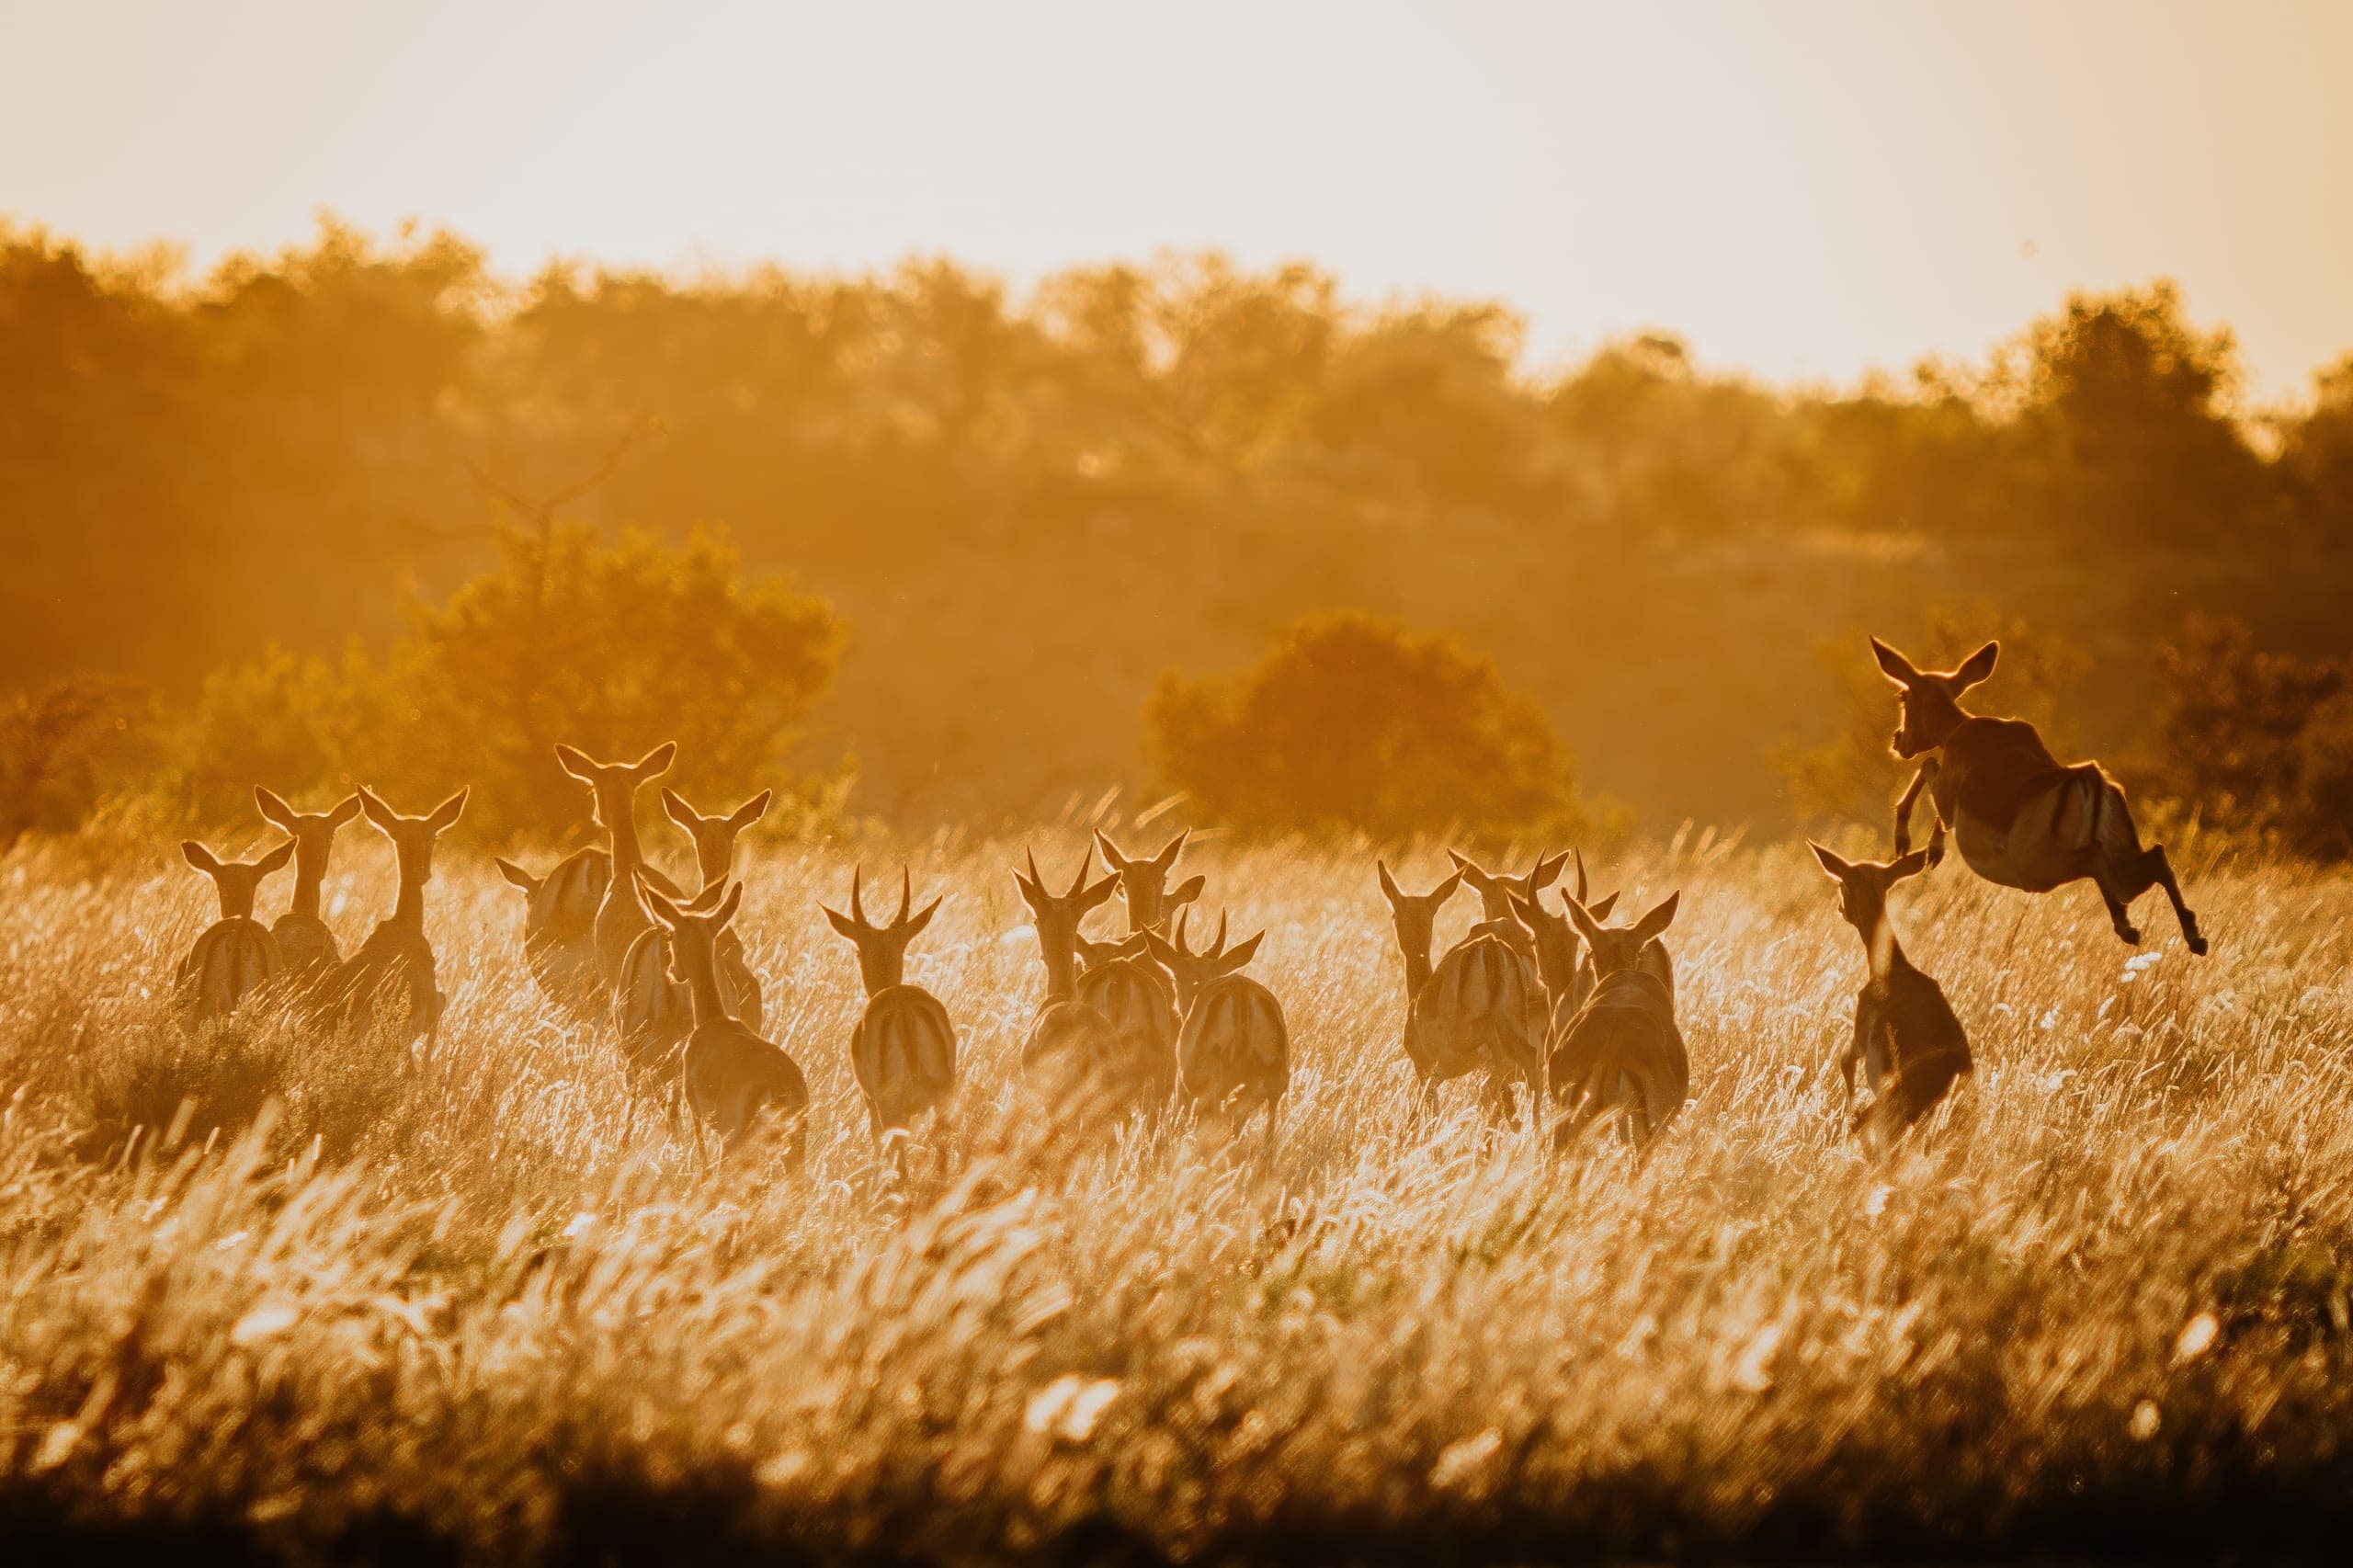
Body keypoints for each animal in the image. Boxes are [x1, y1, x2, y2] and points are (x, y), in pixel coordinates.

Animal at [636, 875, 809, 1163]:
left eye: (671, 934)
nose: (673, 971)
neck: (713, 1019)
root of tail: (783, 1089)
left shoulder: (695, 1112)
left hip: (734, 1143)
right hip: (793, 1151)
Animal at [1811, 842, 1973, 1151]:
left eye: (1841, 883)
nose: (1840, 909)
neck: (1892, 967)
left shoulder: (1861, 1031)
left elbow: (1844, 1061)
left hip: (1895, 1104)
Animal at [1872, 637, 2207, 955]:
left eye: (1903, 696)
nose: (1898, 740)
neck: (1957, 730)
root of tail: (2092, 781)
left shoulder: (1947, 799)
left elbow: (1927, 766)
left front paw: (1915, 845)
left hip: (2038, 867)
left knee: (2098, 861)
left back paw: (2130, 928)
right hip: (2120, 853)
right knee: (2156, 857)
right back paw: (2194, 939)